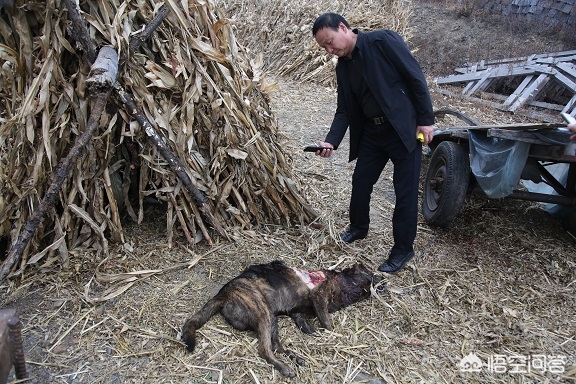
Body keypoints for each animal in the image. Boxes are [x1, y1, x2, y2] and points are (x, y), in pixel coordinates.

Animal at [182, 260, 376, 376]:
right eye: (367, 273)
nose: (378, 279)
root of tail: (223, 294)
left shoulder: (299, 310)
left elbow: (302, 319)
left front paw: (310, 329)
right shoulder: (319, 294)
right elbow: (326, 321)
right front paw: (332, 332)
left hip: (271, 318)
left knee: (276, 346)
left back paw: (295, 358)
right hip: (262, 312)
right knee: (264, 350)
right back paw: (284, 367)